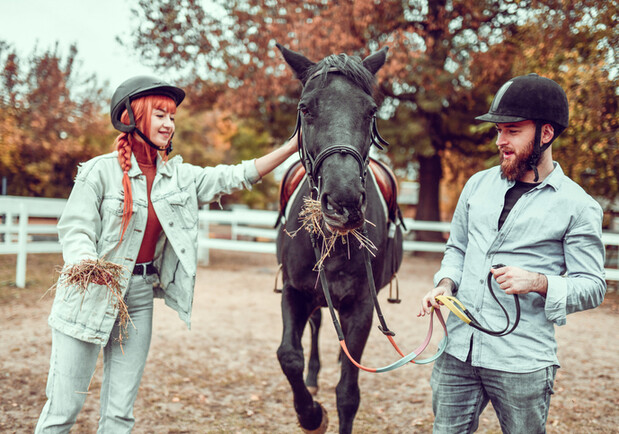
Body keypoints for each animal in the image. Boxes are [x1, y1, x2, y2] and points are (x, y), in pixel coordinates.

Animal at [278, 44, 404, 434]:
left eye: (371, 111)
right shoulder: (294, 291)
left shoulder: (363, 305)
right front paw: (311, 415)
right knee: (317, 326)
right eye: (305, 108)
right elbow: (289, 356)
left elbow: (348, 393)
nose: (343, 201)